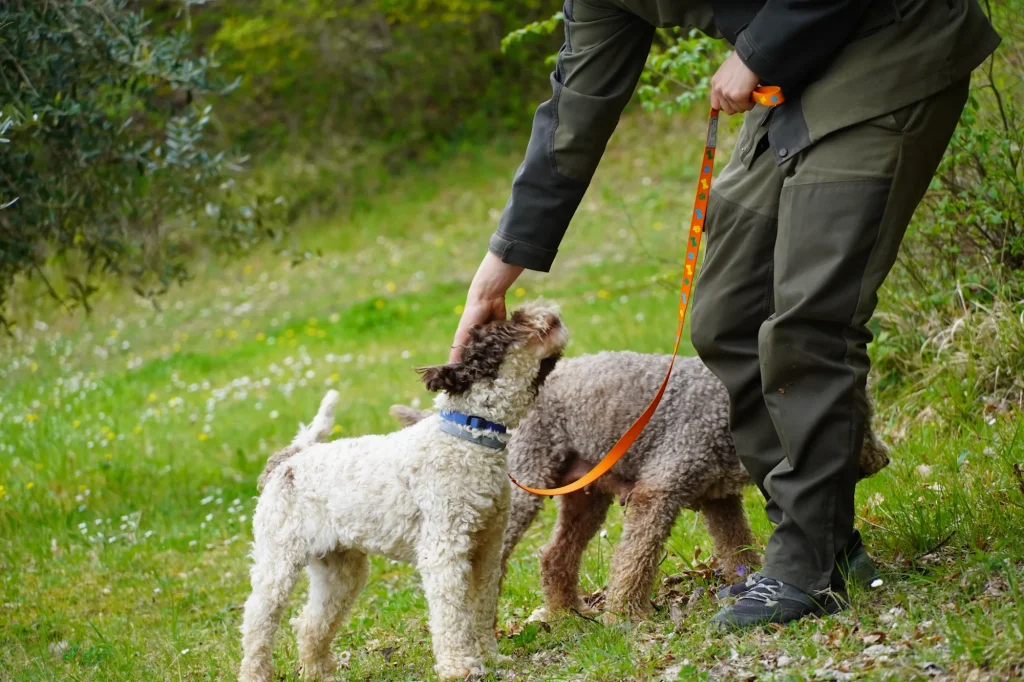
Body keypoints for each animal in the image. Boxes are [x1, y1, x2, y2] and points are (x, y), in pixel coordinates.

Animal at [238, 301, 568, 681]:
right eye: (509, 326)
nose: (549, 312)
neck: (468, 436)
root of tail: (288, 459)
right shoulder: (445, 551)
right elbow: (452, 615)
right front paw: (459, 665)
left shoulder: (487, 548)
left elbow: (482, 606)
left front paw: (491, 656)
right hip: (277, 563)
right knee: (257, 624)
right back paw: (255, 673)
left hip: (341, 570)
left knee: (309, 622)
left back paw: (319, 672)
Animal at [390, 350, 890, 621]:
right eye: (859, 422)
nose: (884, 459)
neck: (727, 411)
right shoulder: (659, 491)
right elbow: (636, 559)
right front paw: (626, 615)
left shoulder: (719, 499)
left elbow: (737, 548)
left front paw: (747, 584)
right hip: (527, 484)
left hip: (586, 496)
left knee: (555, 556)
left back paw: (567, 612)